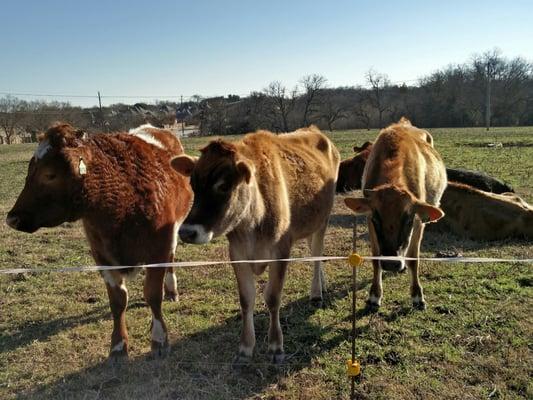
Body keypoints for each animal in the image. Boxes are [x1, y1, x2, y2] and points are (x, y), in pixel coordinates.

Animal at [5, 122, 192, 360]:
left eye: (50, 174)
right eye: (29, 171)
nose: (12, 218)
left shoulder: (158, 247)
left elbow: (152, 295)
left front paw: (159, 338)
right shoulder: (101, 254)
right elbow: (118, 301)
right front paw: (118, 345)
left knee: (171, 260)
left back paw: (171, 290)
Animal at [170, 126, 338, 366]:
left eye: (224, 186)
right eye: (193, 185)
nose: (186, 232)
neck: (252, 220)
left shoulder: (281, 250)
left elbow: (273, 297)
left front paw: (276, 345)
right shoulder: (237, 253)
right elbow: (247, 299)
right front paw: (245, 347)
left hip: (323, 219)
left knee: (317, 252)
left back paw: (316, 291)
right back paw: (321, 285)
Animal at [342, 117, 446, 310]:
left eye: (408, 220)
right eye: (376, 218)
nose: (391, 263)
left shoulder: (418, 221)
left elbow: (413, 258)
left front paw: (417, 295)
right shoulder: (369, 220)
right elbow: (376, 258)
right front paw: (374, 295)